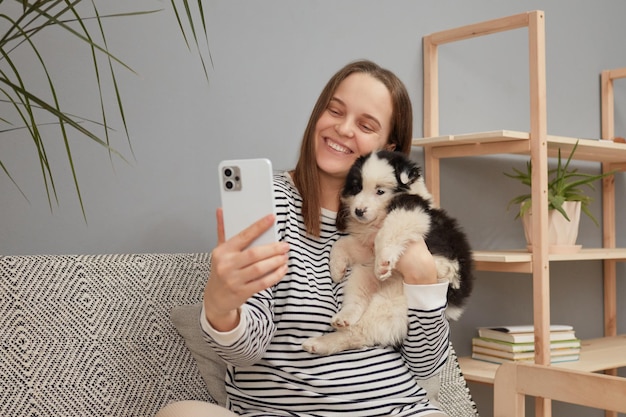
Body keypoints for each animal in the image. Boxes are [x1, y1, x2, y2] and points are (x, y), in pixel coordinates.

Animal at [302, 150, 472, 354]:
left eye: (380, 191)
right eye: (357, 188)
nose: (358, 211)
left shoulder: (411, 212)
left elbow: (386, 232)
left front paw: (383, 262)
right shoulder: (367, 248)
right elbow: (343, 243)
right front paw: (336, 269)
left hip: (393, 304)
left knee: (360, 332)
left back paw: (319, 342)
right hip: (362, 277)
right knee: (356, 303)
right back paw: (342, 319)